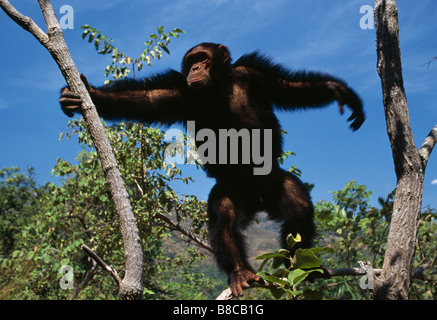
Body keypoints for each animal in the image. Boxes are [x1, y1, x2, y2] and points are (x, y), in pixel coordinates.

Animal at [58, 42, 364, 298]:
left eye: (203, 58)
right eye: (192, 61)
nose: (195, 68)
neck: (216, 86)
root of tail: (257, 202)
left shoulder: (254, 73)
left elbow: (289, 86)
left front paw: (339, 91)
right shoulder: (178, 92)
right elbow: (144, 97)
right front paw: (89, 92)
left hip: (271, 181)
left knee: (297, 204)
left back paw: (297, 266)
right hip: (229, 190)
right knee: (223, 219)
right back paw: (240, 272)